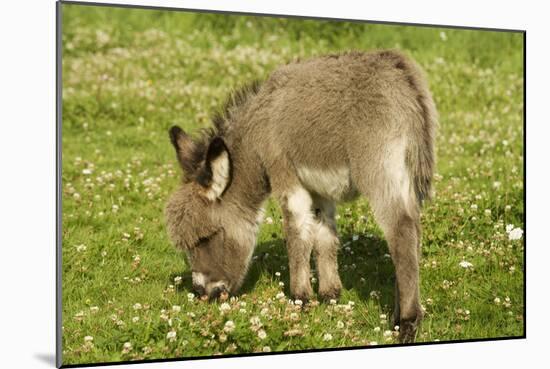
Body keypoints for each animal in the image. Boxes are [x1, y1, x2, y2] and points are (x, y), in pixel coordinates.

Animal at [166, 49, 438, 342]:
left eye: (207, 237)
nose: (203, 293)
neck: (258, 128)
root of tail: (404, 78)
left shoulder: (285, 174)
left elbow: (297, 234)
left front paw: (301, 299)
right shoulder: (319, 190)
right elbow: (324, 235)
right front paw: (330, 294)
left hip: (378, 168)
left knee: (401, 231)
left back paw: (407, 323)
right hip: (404, 176)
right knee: (413, 233)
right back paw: (398, 317)